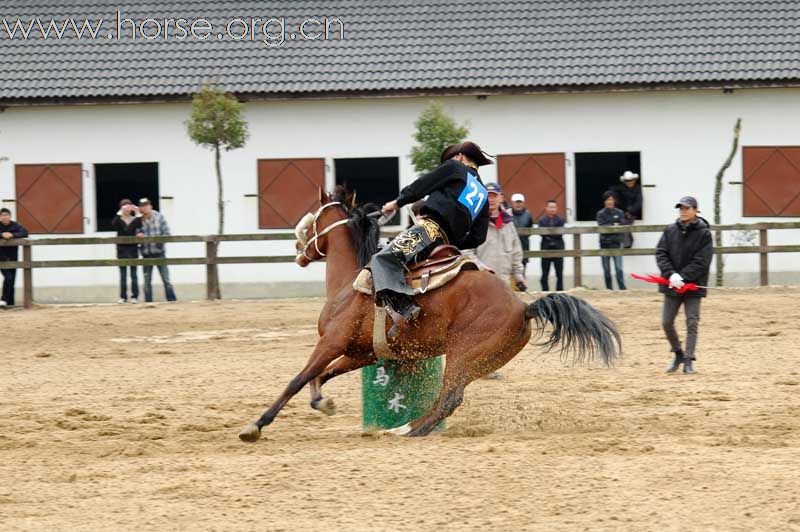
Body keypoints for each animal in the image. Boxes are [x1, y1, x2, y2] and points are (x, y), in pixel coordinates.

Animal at [238, 188, 620, 440]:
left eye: (312, 219)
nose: (298, 250)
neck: (349, 283)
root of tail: (524, 307)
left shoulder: (331, 342)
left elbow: (298, 379)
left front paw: (256, 426)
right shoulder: (360, 353)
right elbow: (323, 376)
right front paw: (323, 402)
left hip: (463, 354)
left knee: (449, 399)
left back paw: (407, 429)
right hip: (478, 361)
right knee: (446, 399)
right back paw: (406, 427)